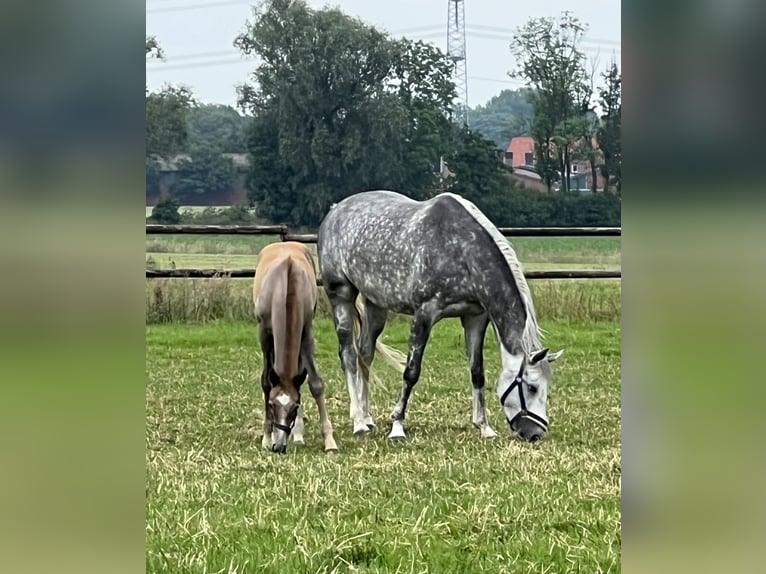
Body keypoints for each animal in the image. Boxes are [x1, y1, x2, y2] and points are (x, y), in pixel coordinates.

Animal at [255, 243, 340, 454]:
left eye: (294, 407)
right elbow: (266, 381)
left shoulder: (306, 332)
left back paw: (299, 434)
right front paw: (266, 437)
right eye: (271, 405)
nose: (278, 446)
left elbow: (315, 384)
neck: (285, 286)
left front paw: (329, 441)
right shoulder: (264, 334)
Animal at [316, 191, 564, 444]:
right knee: (348, 354)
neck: (461, 250)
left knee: (365, 353)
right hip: (341, 295)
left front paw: (484, 427)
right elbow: (411, 372)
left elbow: (477, 372)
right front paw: (397, 427)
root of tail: (335, 210)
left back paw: (367, 418)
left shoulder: (475, 317)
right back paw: (358, 422)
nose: (535, 434)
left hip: (376, 304)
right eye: (532, 388)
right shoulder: (424, 314)